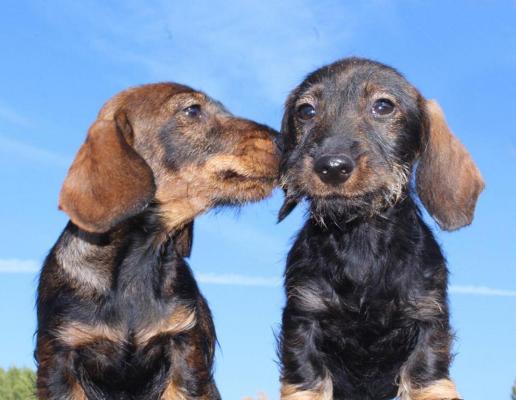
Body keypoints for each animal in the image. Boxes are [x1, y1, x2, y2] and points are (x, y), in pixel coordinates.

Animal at [278, 58, 484, 400]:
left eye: (383, 106)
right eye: (306, 111)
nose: (331, 167)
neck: (359, 238)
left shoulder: (428, 319)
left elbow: (424, 377)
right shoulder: (303, 319)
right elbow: (309, 381)